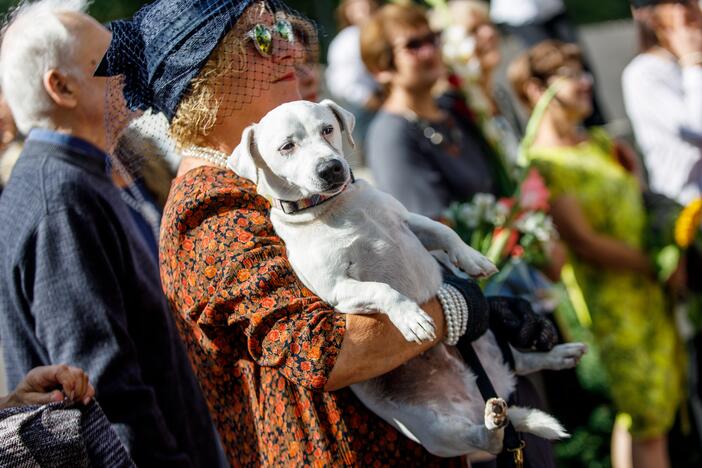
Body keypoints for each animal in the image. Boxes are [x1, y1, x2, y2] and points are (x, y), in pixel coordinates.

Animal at [230, 99, 588, 458]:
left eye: (327, 129)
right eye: (287, 147)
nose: (331, 168)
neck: (336, 208)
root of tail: (484, 393)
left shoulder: (409, 223)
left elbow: (444, 232)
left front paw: (473, 259)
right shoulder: (338, 290)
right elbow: (383, 290)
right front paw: (411, 318)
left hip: (485, 337)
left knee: (520, 360)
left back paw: (557, 356)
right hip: (438, 431)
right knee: (488, 438)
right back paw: (495, 421)